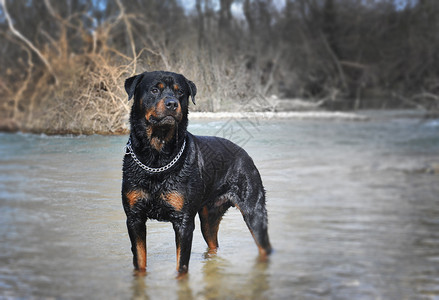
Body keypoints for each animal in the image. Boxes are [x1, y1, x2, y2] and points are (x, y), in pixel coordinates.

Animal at [121, 70, 272, 276]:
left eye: (180, 92)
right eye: (154, 90)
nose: (172, 104)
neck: (157, 157)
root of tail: (244, 153)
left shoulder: (184, 221)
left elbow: (181, 266)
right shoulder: (134, 218)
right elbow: (140, 261)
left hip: (254, 210)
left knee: (264, 246)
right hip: (209, 216)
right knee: (213, 243)